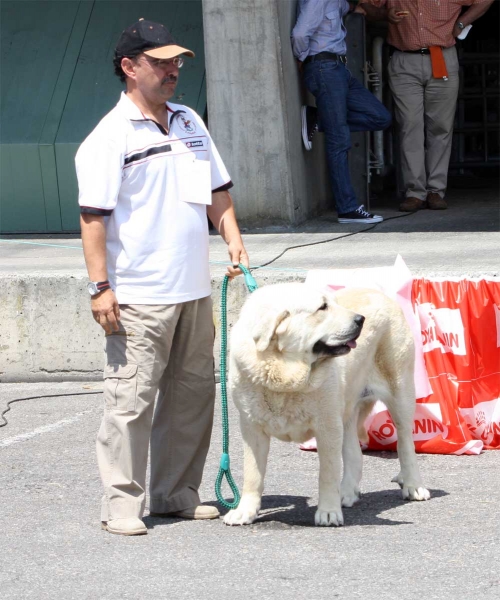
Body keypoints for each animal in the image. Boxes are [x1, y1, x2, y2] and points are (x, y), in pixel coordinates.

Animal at [225, 282, 428, 524]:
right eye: (322, 307)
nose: (360, 319)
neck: (285, 376)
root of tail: (380, 294)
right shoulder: (252, 428)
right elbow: (252, 473)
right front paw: (245, 511)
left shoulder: (327, 426)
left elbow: (328, 473)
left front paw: (328, 511)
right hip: (347, 409)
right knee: (354, 453)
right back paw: (347, 493)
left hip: (400, 393)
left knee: (405, 443)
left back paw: (413, 485)